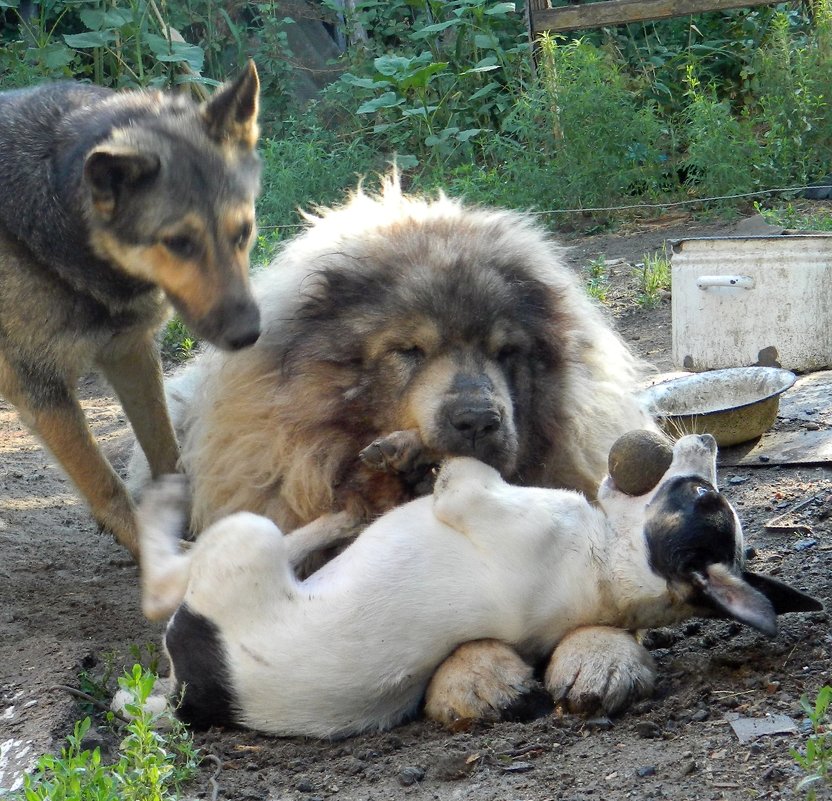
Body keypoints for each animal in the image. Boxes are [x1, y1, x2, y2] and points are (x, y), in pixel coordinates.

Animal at [135, 434, 820, 736]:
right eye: (707, 492)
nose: (706, 439)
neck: (606, 566)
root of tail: (191, 692)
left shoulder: (467, 490)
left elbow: (461, 459)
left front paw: (410, 450)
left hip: (244, 542)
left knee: (164, 585)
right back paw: (349, 515)